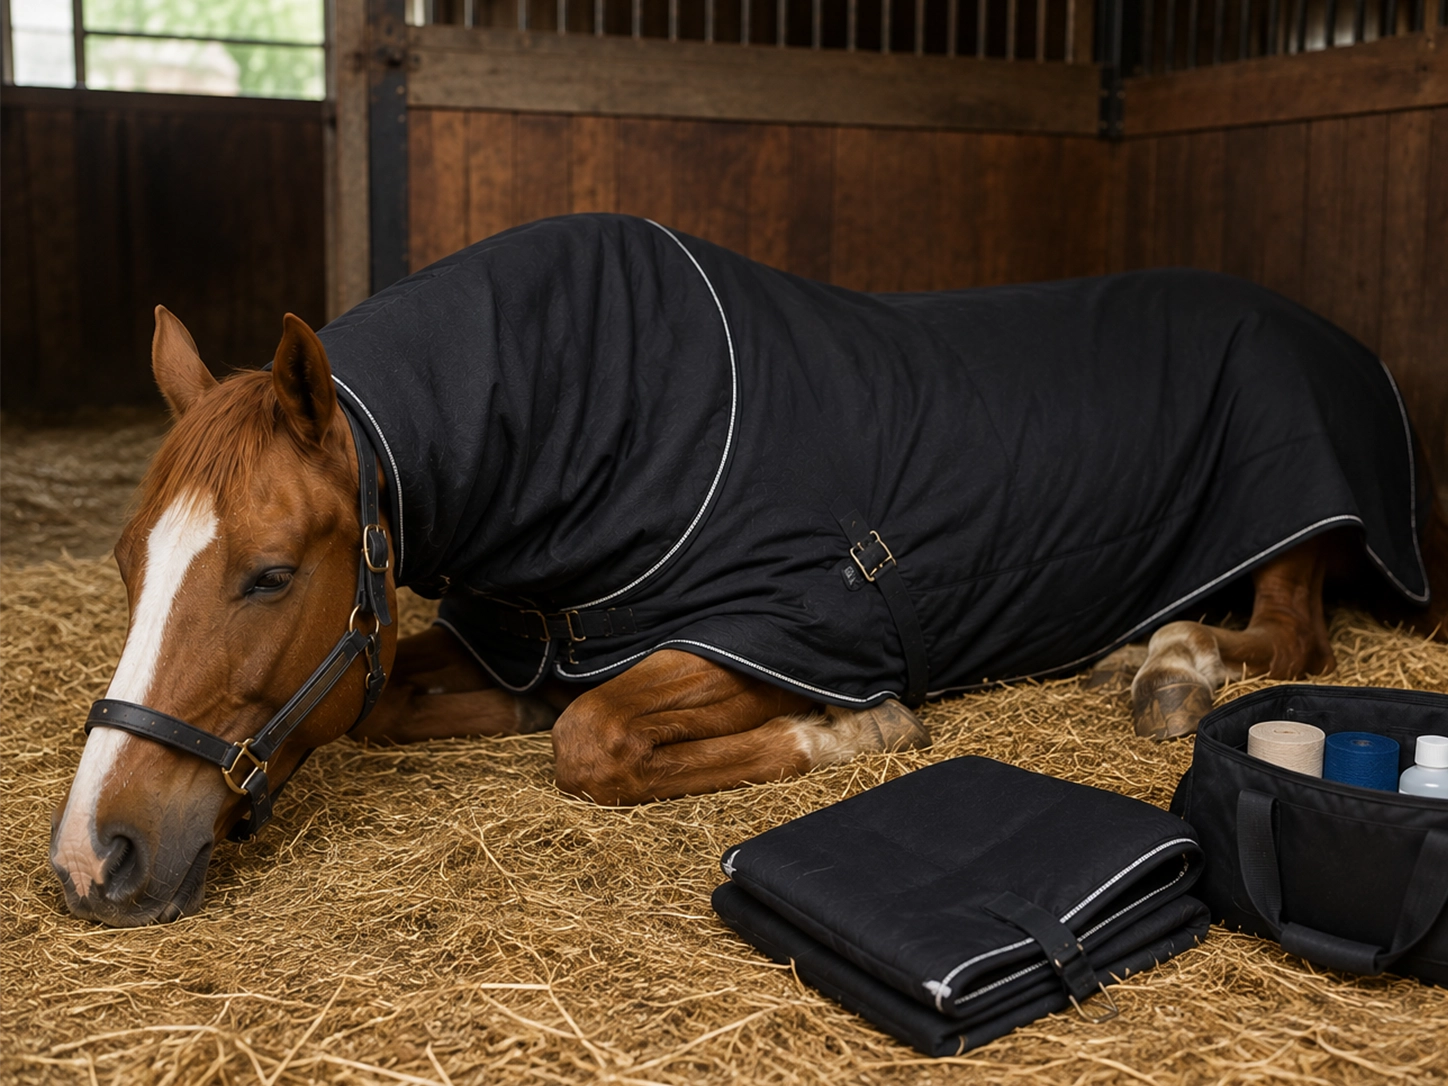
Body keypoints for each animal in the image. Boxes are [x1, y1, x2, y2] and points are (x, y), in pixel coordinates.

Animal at [50, 214, 1448, 927]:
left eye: (270, 575)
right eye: (125, 562)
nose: (89, 860)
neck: (608, 414)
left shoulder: (783, 625)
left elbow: (595, 740)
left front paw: (854, 735)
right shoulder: (524, 636)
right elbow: (404, 701)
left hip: (1299, 527)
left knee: (1291, 635)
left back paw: (1165, 667)